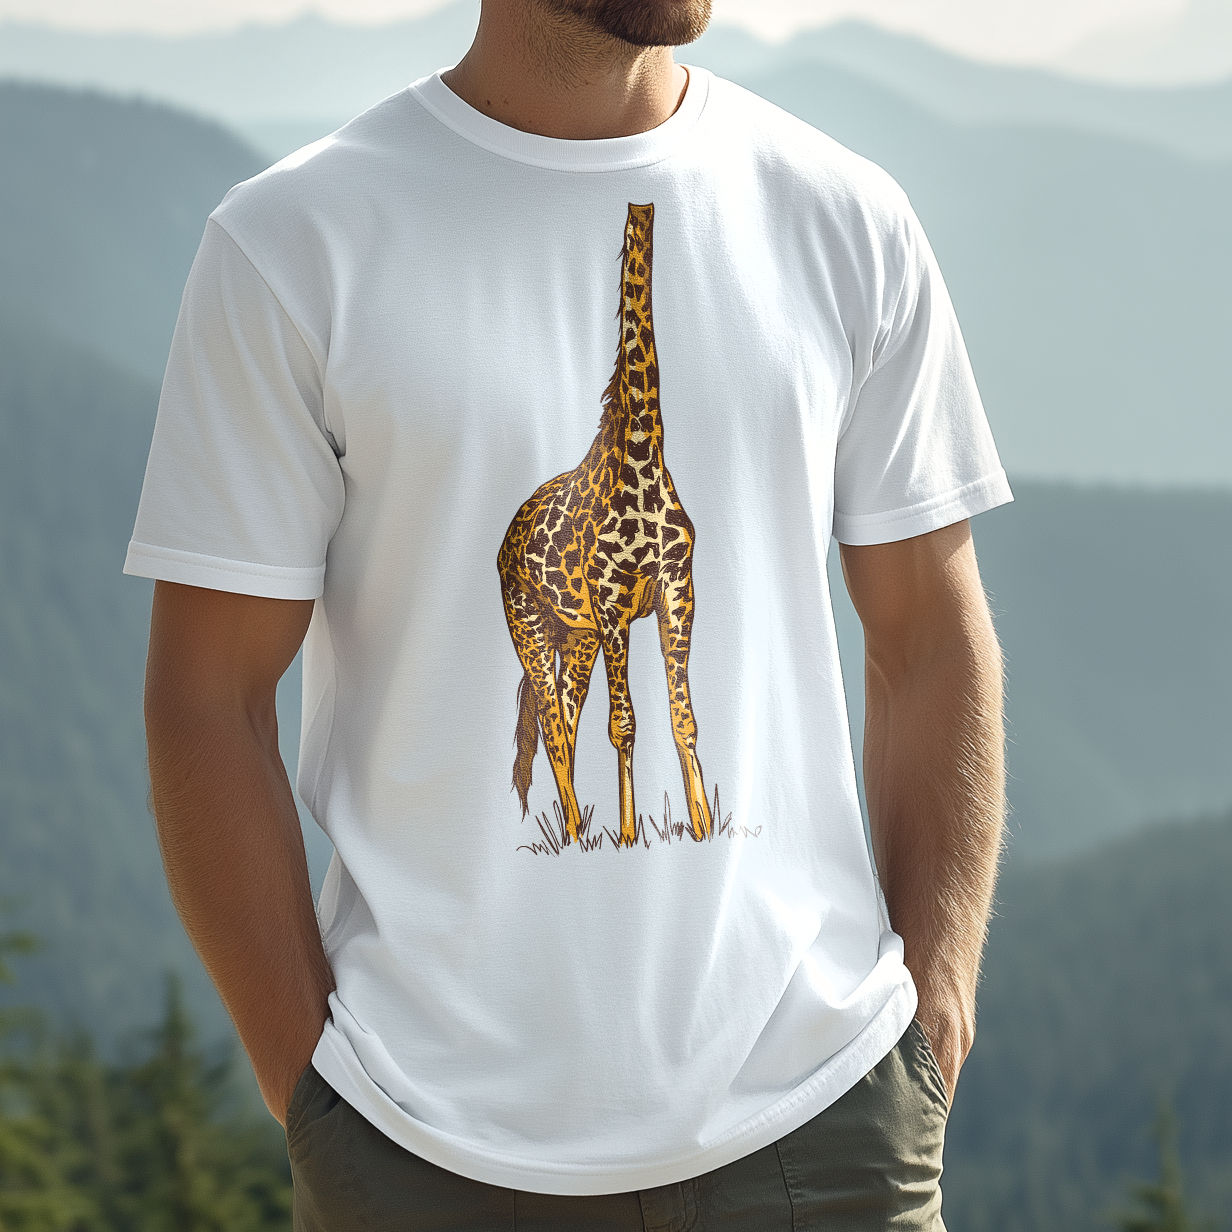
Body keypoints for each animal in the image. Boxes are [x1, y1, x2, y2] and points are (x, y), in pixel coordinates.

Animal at [497, 202, 713, 847]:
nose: (644, 207)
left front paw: (702, 829)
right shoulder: (614, 599)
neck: (642, 454)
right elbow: (624, 724)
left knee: (561, 721)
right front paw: (629, 837)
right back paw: (573, 835)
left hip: (577, 637)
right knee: (551, 722)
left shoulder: (677, 590)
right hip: (531, 628)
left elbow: (683, 719)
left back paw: (574, 834)